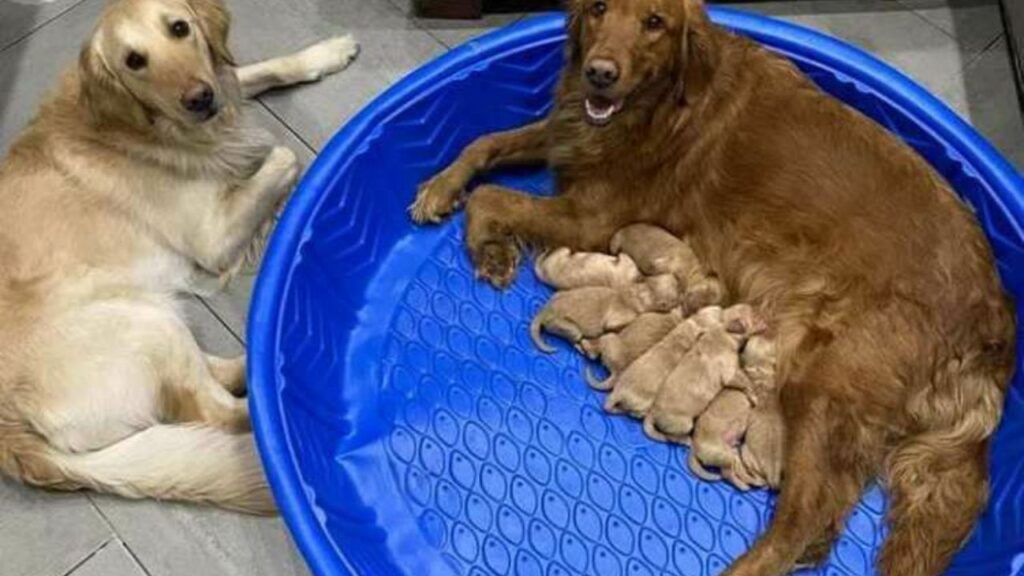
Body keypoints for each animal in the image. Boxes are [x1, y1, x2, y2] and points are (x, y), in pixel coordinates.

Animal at [0, 0, 360, 510]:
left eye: (179, 28)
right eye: (134, 61)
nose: (198, 98)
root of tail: (12, 438)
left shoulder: (221, 79)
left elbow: (258, 69)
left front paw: (327, 52)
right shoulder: (211, 234)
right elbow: (283, 154)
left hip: (151, 315)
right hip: (139, 324)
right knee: (219, 413)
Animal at [532, 272, 684, 350]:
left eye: (671, 278)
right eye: (674, 298)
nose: (677, 278)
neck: (642, 293)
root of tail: (546, 310)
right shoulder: (624, 314)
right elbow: (611, 325)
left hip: (560, 294)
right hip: (562, 324)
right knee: (574, 334)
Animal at [643, 303, 765, 440]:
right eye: (754, 316)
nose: (762, 313)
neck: (724, 329)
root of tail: (652, 412)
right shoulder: (730, 375)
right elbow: (745, 381)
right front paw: (753, 394)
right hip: (683, 424)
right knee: (672, 437)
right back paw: (686, 440)